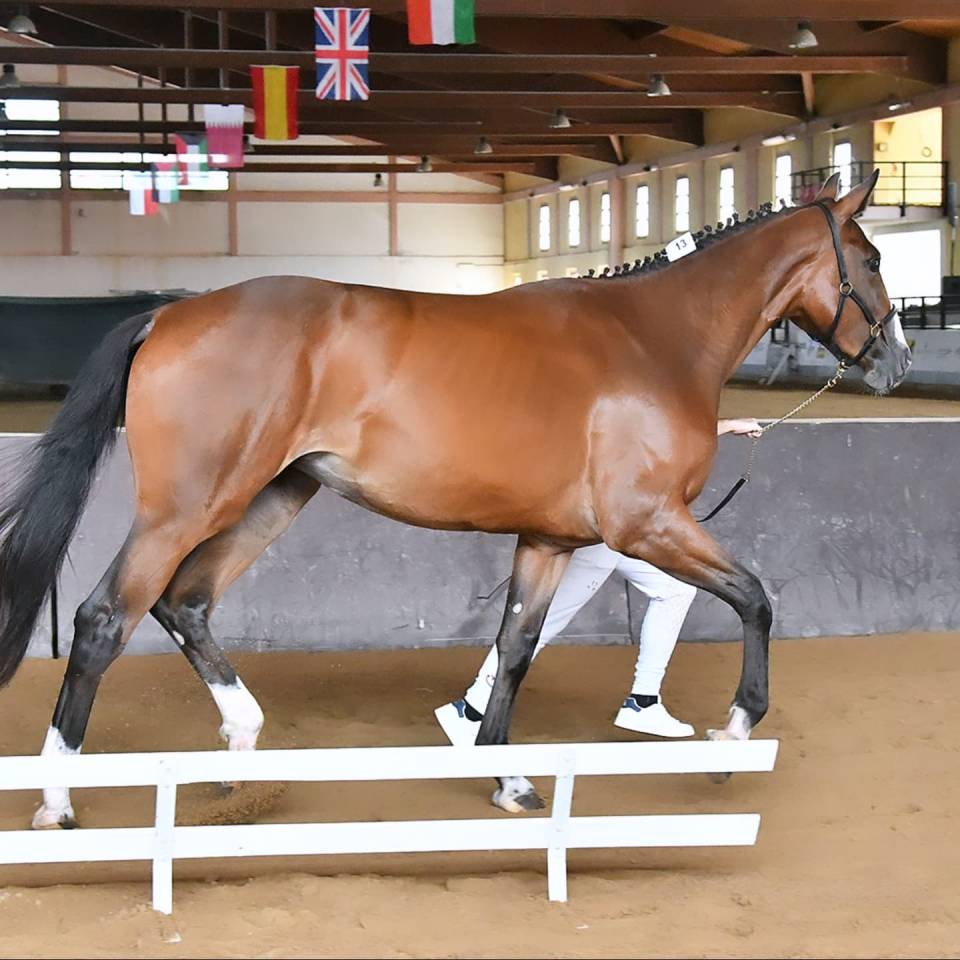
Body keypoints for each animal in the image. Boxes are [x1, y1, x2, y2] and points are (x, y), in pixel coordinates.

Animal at [0, 170, 910, 827]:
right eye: (869, 259)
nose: (896, 364)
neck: (655, 339)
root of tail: (170, 316)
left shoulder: (548, 542)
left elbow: (516, 648)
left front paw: (506, 777)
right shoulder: (649, 525)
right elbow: (757, 597)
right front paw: (734, 732)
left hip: (273, 497)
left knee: (184, 603)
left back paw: (242, 745)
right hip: (190, 506)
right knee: (105, 619)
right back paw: (58, 800)